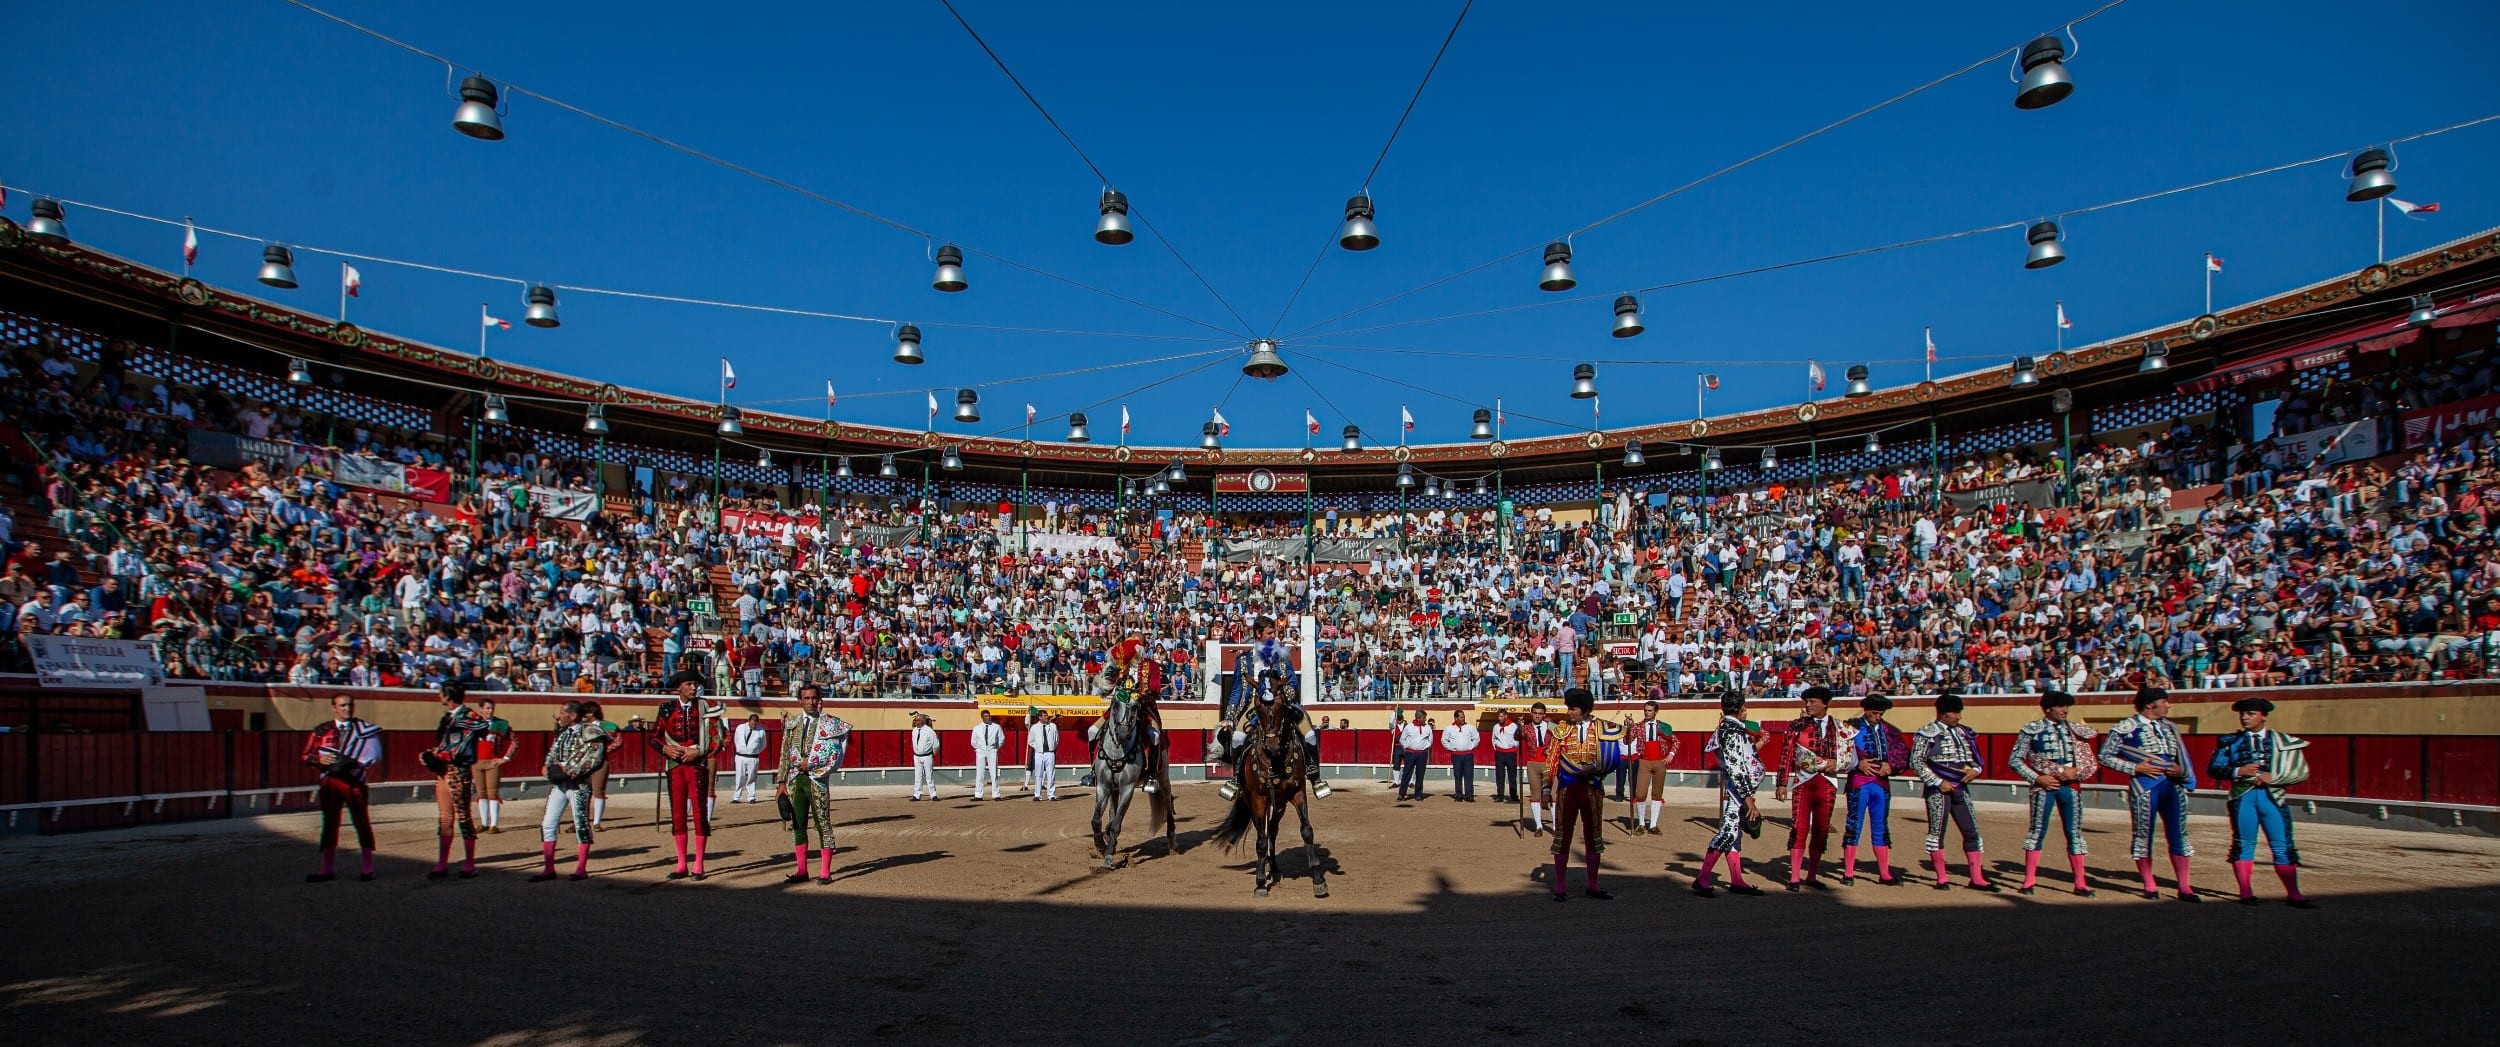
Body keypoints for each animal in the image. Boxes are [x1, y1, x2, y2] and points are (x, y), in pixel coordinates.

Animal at [1210, 699, 1330, 899]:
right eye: (1259, 710)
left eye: (1282, 708)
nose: (1272, 746)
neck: (1276, 760)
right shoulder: (1259, 799)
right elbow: (1260, 840)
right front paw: (1259, 883)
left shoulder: (1297, 794)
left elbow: (1306, 831)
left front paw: (1318, 880)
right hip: (1252, 801)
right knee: (1264, 832)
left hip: (1280, 803)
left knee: (1272, 830)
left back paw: (1273, 867)